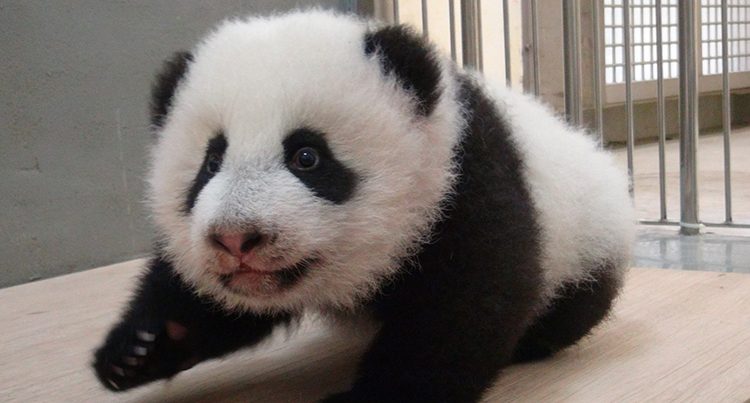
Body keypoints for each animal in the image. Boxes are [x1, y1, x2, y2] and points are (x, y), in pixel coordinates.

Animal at [93, 10, 635, 403]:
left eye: (307, 156)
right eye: (210, 162)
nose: (235, 238)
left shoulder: (466, 187)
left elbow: (465, 306)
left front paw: (368, 398)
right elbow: (214, 303)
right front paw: (140, 349)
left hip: (586, 243)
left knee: (571, 307)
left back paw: (532, 342)